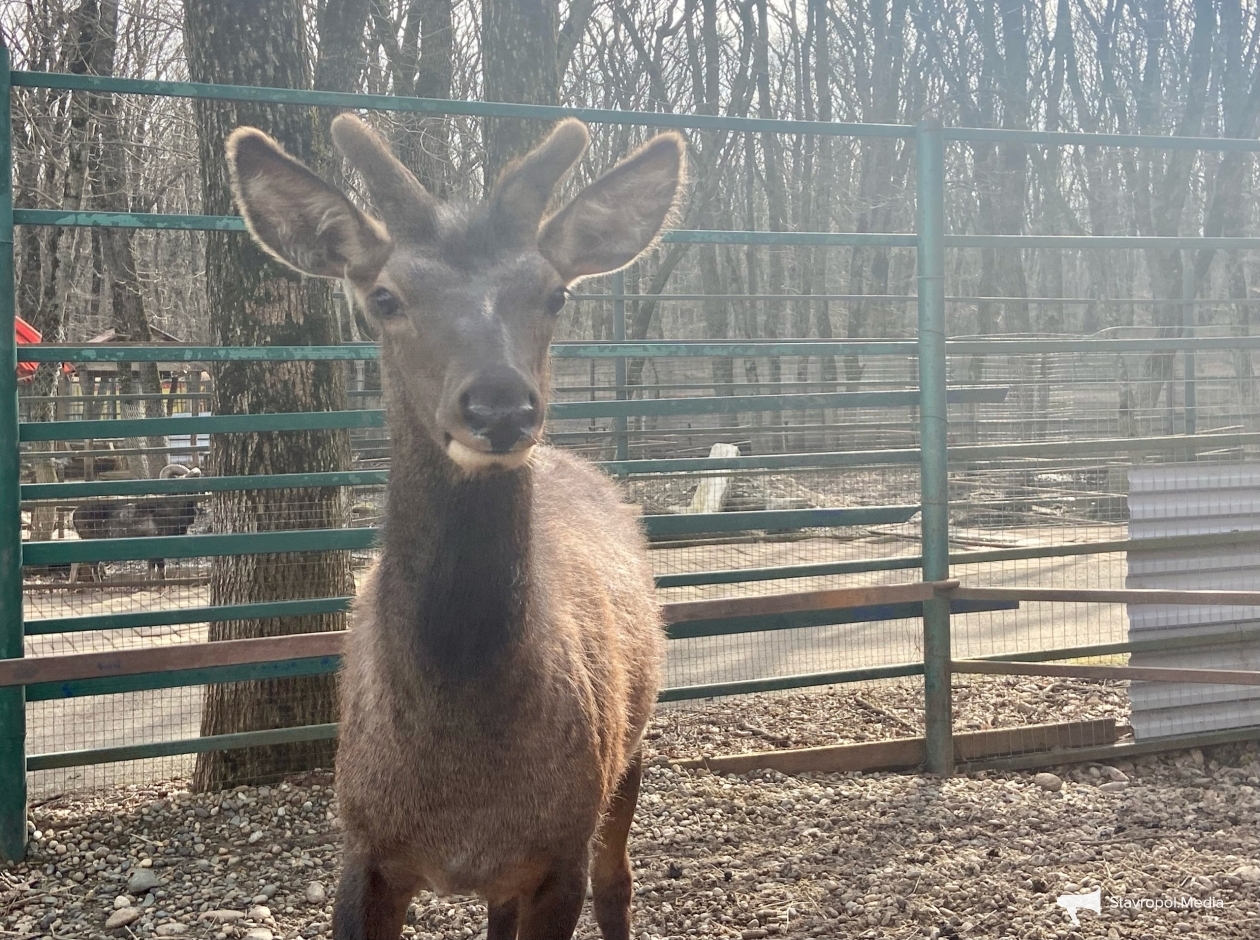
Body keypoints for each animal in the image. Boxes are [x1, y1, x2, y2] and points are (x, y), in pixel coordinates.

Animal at [226, 111, 680, 937]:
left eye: (554, 293)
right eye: (385, 296)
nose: (500, 406)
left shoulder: (559, 846)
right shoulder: (364, 844)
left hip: (630, 748)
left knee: (619, 877)